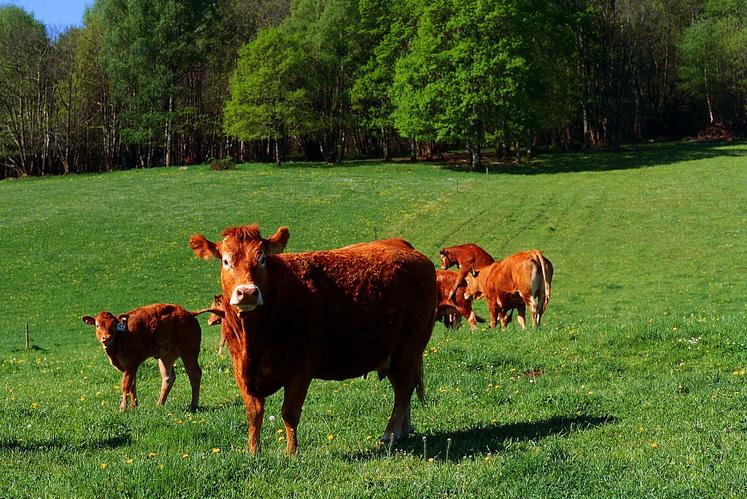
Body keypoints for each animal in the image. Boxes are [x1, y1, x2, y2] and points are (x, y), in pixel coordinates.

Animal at [188, 225, 438, 456]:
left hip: (410, 346)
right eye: (226, 261)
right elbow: (253, 413)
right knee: (403, 389)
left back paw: (391, 434)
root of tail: (405, 247)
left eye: (262, 259)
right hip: (392, 352)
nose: (248, 292)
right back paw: (403, 430)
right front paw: (253, 451)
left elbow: (289, 413)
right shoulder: (241, 369)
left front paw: (291, 453)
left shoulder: (301, 367)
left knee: (403, 390)